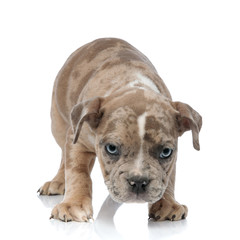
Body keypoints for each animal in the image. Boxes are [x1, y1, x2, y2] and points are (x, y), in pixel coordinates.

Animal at [38, 38, 202, 223]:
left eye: (166, 152)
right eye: (112, 148)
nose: (138, 182)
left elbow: (169, 178)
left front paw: (167, 204)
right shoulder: (77, 140)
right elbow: (77, 173)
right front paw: (73, 204)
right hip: (58, 123)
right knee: (64, 155)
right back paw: (58, 181)